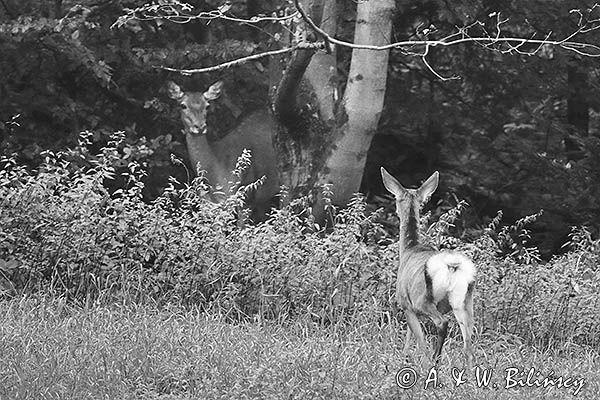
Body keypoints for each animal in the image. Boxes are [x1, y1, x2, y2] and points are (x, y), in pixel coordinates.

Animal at [382, 167, 476, 368]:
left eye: (396, 199)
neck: (410, 249)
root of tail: (451, 266)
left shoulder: (405, 303)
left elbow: (415, 339)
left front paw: (403, 359)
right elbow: (410, 336)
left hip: (423, 299)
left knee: (441, 325)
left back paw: (433, 362)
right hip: (465, 302)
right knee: (468, 348)